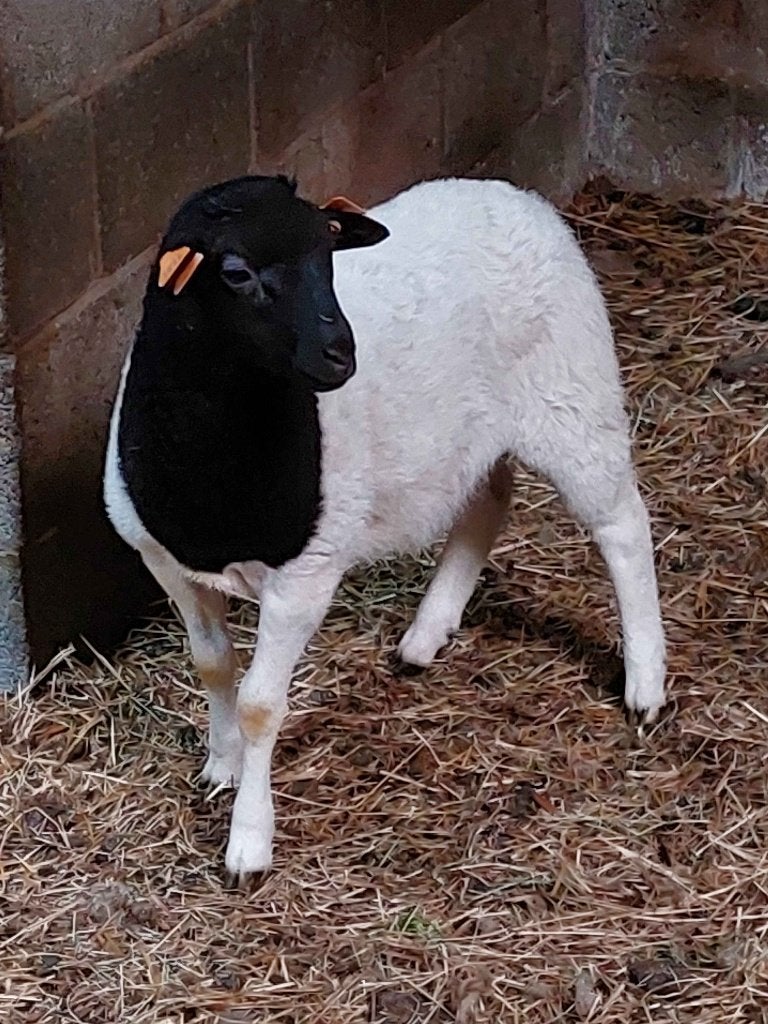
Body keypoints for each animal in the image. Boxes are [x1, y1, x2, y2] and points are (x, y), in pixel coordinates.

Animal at [104, 174, 666, 878]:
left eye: (329, 252)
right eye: (235, 272)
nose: (341, 355)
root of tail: (513, 194)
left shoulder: (304, 579)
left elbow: (261, 704)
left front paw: (249, 841)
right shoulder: (166, 561)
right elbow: (212, 665)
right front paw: (221, 765)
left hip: (573, 400)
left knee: (623, 525)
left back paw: (645, 682)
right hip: (469, 441)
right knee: (487, 502)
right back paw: (426, 635)